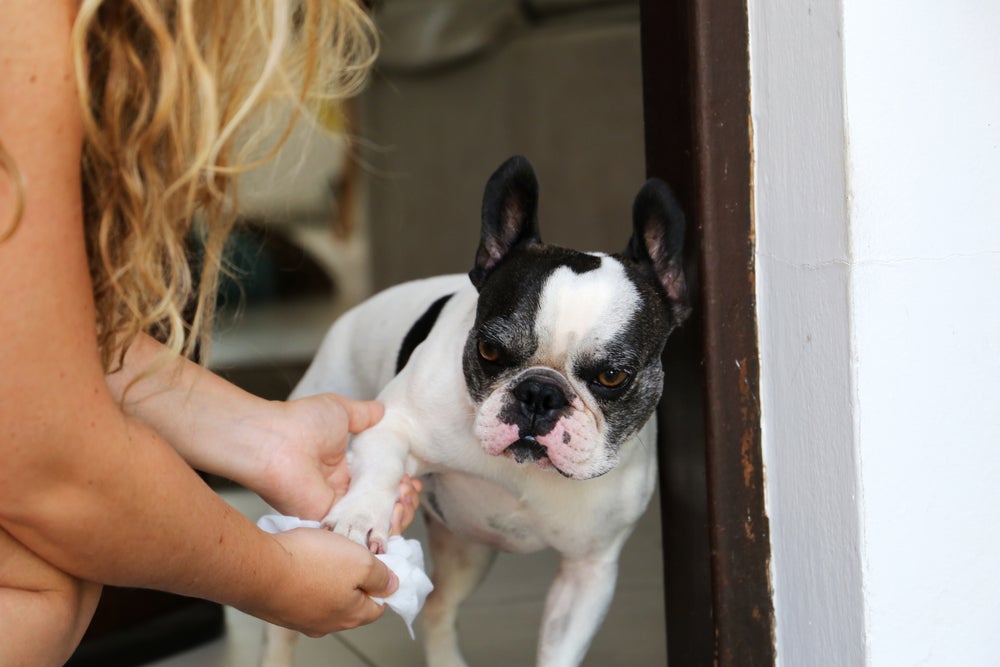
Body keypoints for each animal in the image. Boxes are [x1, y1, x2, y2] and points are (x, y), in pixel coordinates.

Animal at [264, 157, 688, 667]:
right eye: (489, 350)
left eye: (611, 376)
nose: (540, 394)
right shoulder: (391, 424)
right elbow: (379, 469)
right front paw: (361, 518)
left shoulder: (587, 575)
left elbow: (559, 651)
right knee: (281, 625)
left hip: (468, 549)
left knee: (439, 606)